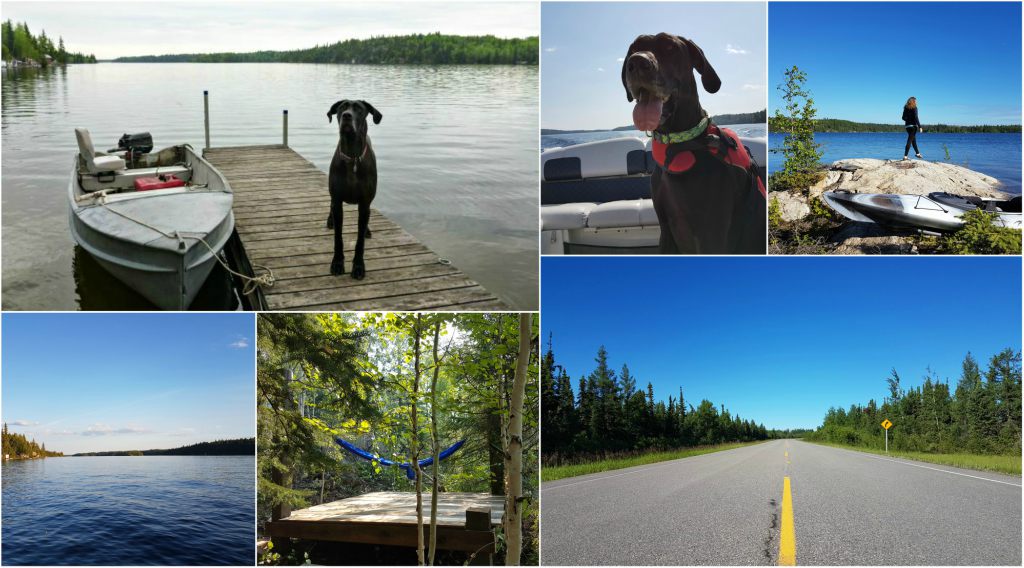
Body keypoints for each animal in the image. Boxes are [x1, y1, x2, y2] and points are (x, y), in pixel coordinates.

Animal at [618, 32, 765, 252]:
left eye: (670, 47)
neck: (678, 144)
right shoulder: (666, 230)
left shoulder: (711, 236)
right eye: (634, 48)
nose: (637, 62)